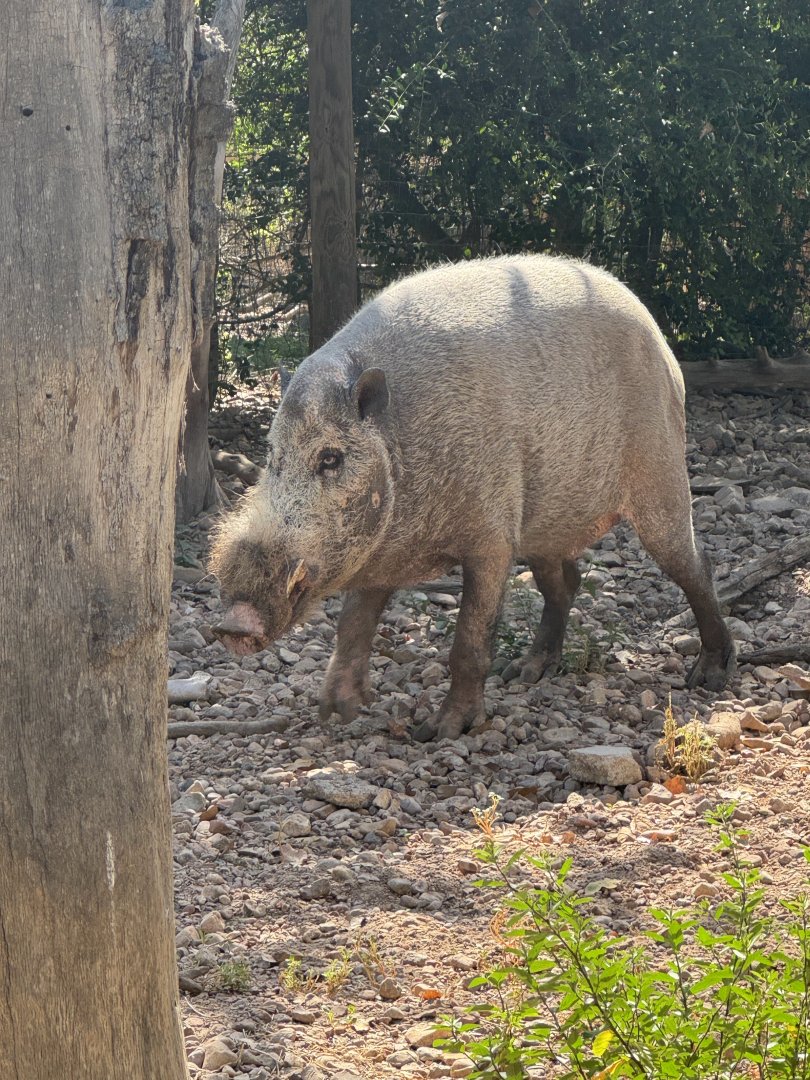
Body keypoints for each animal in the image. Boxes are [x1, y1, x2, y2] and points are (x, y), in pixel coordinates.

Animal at [210, 254, 735, 741]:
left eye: (331, 458)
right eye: (272, 454)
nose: (234, 624)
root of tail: (661, 341)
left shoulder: (492, 536)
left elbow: (469, 639)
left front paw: (438, 732)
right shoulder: (379, 552)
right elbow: (352, 624)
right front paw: (338, 715)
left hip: (661, 472)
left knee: (696, 565)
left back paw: (708, 677)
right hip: (543, 524)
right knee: (566, 581)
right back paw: (523, 674)